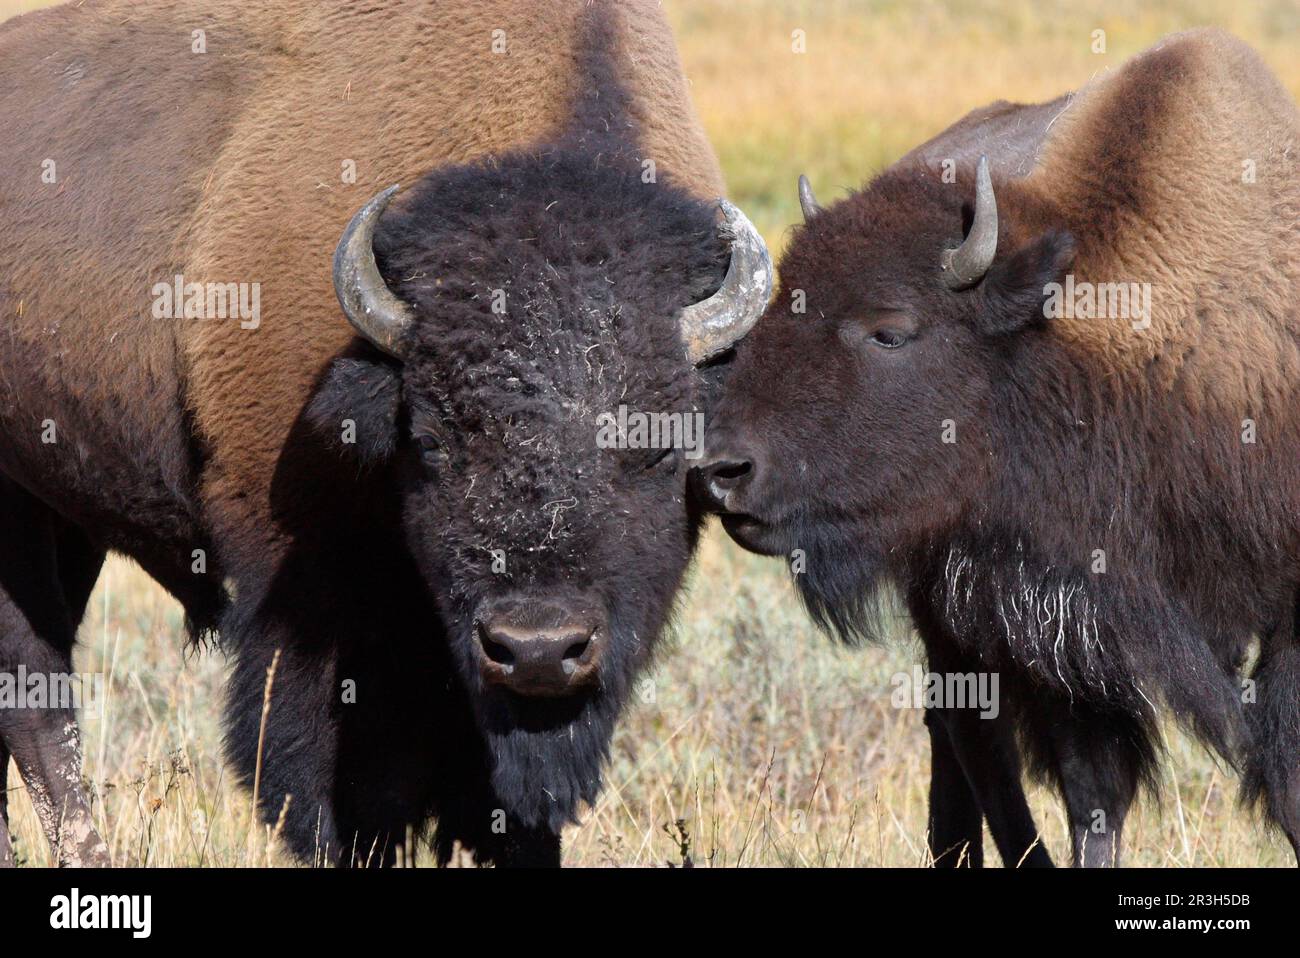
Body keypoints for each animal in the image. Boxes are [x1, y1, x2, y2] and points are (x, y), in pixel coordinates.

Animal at [0, 0, 769, 868]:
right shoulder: (303, 580)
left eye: (661, 449)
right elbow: (338, 776)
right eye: (431, 442)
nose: (538, 647)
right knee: (36, 696)